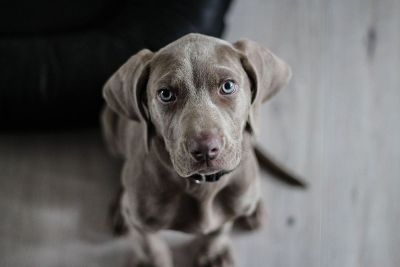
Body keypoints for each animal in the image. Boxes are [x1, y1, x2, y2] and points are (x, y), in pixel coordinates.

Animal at [101, 33, 304, 267]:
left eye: (227, 86)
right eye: (165, 94)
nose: (205, 149)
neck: (202, 186)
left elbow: (220, 228)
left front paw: (213, 253)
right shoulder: (141, 222)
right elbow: (150, 246)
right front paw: (153, 260)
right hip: (109, 123)